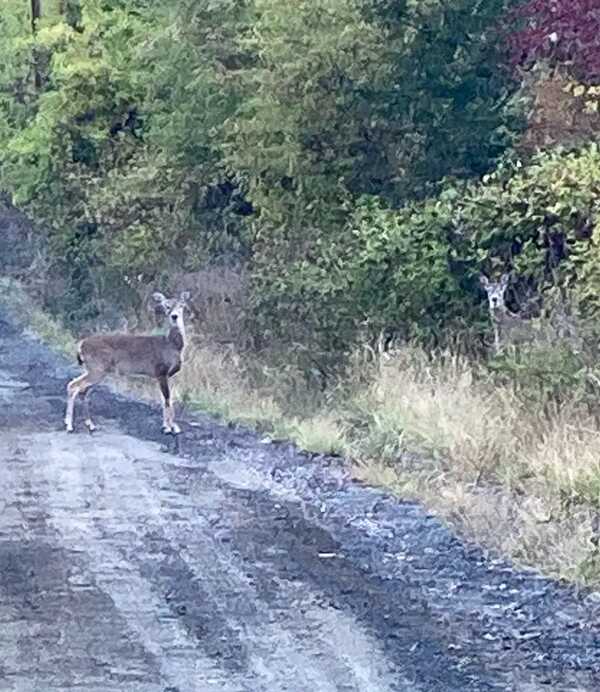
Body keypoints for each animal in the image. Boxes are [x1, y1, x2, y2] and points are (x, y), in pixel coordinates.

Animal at [64, 291, 190, 435]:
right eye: (166, 306)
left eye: (181, 305)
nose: (174, 316)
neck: (172, 346)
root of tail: (81, 345)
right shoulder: (161, 371)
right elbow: (167, 399)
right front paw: (169, 428)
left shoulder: (169, 376)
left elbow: (167, 400)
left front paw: (171, 426)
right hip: (97, 369)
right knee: (73, 386)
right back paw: (69, 425)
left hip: (92, 369)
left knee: (81, 390)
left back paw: (90, 424)